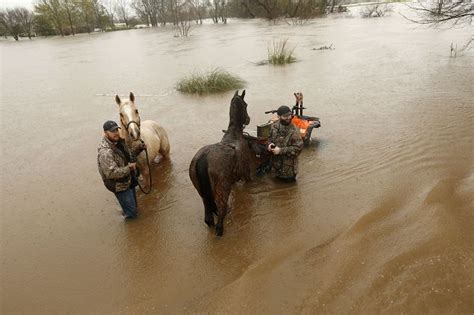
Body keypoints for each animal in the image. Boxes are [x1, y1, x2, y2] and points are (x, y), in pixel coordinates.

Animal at [189, 90, 252, 236]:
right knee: (221, 208)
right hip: (222, 189)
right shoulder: (246, 173)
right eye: (245, 105)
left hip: (202, 193)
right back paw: (220, 229)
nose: (248, 119)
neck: (234, 134)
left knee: (208, 213)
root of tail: (204, 158)